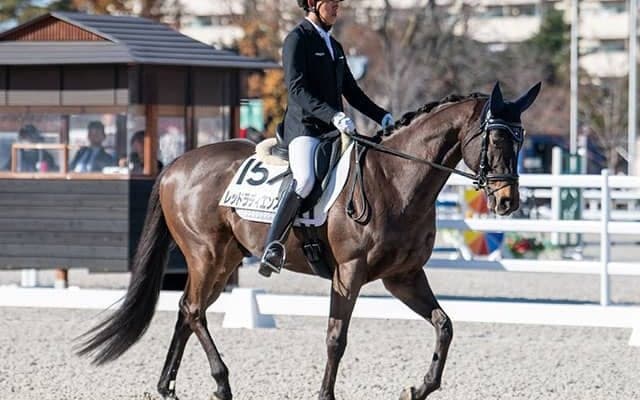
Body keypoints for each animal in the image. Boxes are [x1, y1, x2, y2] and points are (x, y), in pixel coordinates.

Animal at [77, 81, 541, 400]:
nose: (508, 201)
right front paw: (326, 394)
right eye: (495, 138)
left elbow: (444, 326)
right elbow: (337, 337)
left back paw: (169, 387)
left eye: (520, 139)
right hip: (206, 255)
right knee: (192, 311)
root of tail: (176, 164)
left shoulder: (403, 276)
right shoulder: (349, 273)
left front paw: (419, 388)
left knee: (188, 311)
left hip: (224, 259)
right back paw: (221, 384)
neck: (396, 181)